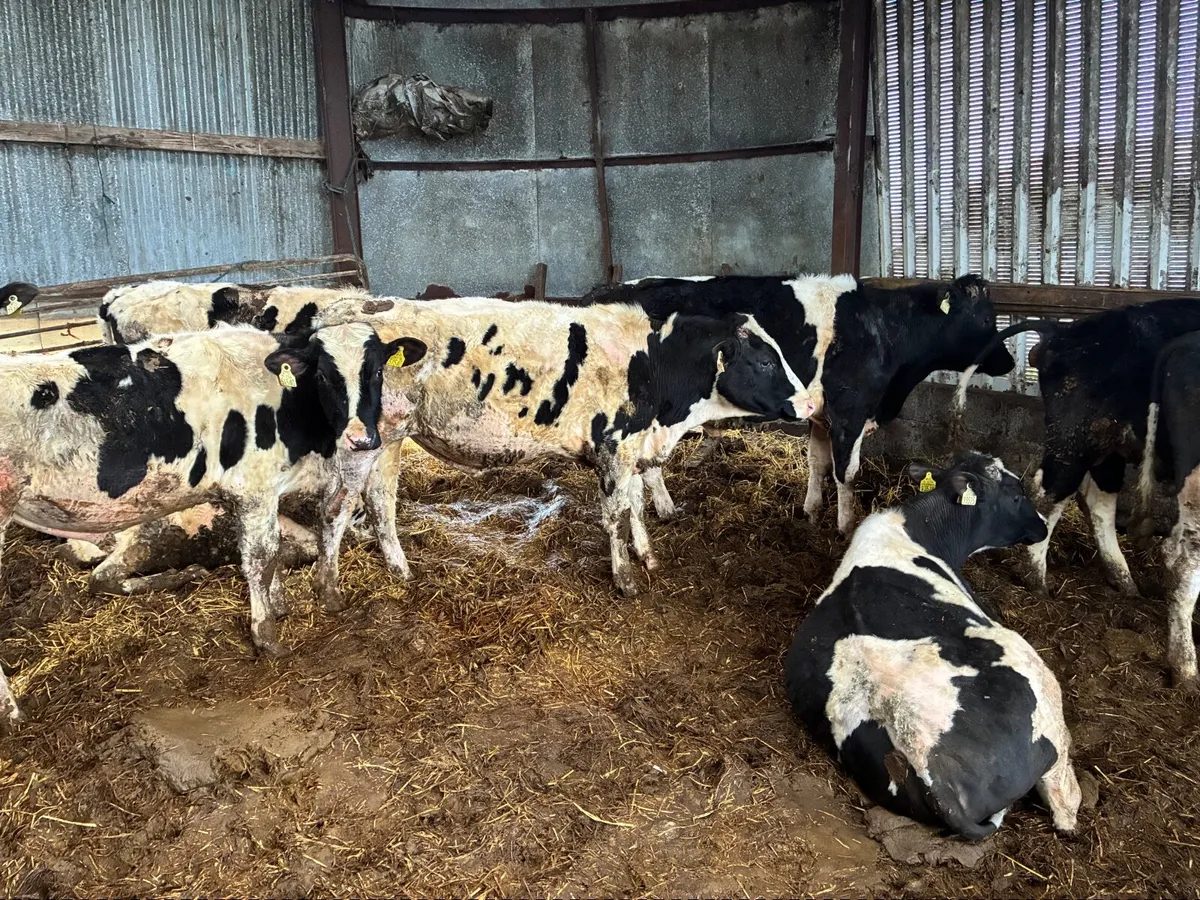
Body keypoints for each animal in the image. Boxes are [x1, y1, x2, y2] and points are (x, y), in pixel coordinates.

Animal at [0, 322, 425, 726]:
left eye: (376, 370)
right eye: (323, 374)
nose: (361, 438)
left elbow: (275, 552)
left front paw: (281, 606)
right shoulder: (254, 486)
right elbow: (261, 557)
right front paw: (267, 636)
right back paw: (13, 712)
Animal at [314, 295, 815, 595]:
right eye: (766, 361)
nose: (811, 402)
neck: (653, 363)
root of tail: (354, 303)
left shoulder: (633, 447)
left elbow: (635, 504)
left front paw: (648, 556)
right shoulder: (614, 446)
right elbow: (616, 514)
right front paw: (625, 579)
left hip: (391, 440)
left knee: (380, 502)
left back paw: (401, 571)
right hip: (361, 443)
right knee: (335, 507)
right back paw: (328, 588)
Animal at [578, 274, 1015, 533]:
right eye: (986, 320)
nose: (1010, 361)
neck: (883, 329)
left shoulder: (820, 414)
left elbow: (817, 462)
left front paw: (811, 508)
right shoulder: (849, 409)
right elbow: (846, 471)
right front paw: (845, 524)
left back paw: (665, 508)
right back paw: (664, 508)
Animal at [952, 299, 1200, 599]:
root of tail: (1062, 331)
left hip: (1107, 441)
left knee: (1099, 499)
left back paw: (1125, 582)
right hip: (1073, 437)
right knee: (1051, 493)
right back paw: (1036, 580)